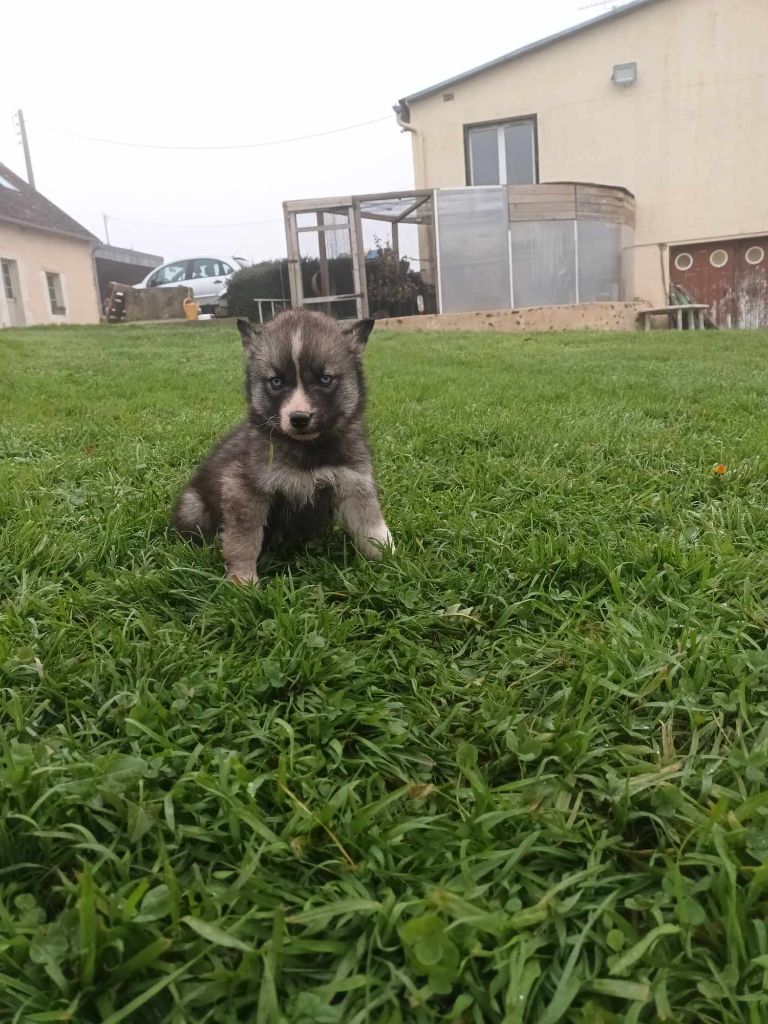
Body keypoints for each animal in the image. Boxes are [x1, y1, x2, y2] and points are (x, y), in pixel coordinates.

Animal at [171, 309, 393, 585]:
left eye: (325, 379)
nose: (299, 418)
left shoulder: (354, 480)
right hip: (193, 507)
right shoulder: (243, 488)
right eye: (276, 381)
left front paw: (392, 560)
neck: (308, 450)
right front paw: (242, 579)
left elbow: (370, 525)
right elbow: (243, 540)